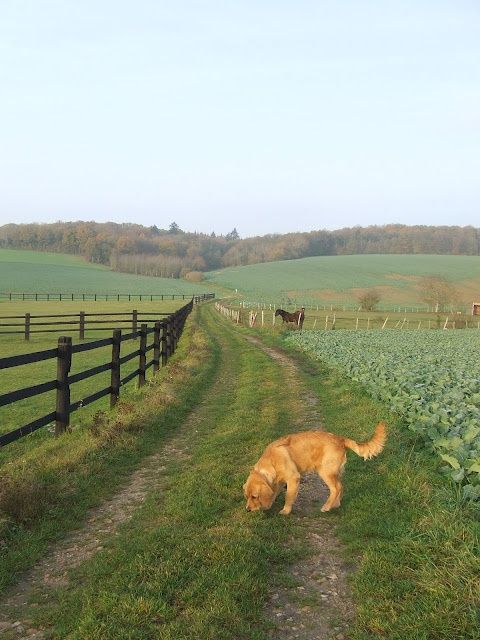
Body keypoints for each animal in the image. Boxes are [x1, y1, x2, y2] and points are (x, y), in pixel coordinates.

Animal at [244, 420, 386, 516]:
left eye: (254, 496)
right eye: (247, 496)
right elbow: (273, 494)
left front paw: (285, 510)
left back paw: (327, 507)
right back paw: (335, 504)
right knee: (341, 487)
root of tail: (340, 439)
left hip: (325, 472)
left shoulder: (293, 478)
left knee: (336, 488)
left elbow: (289, 497)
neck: (271, 461)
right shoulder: (278, 482)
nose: (248, 509)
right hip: (334, 472)